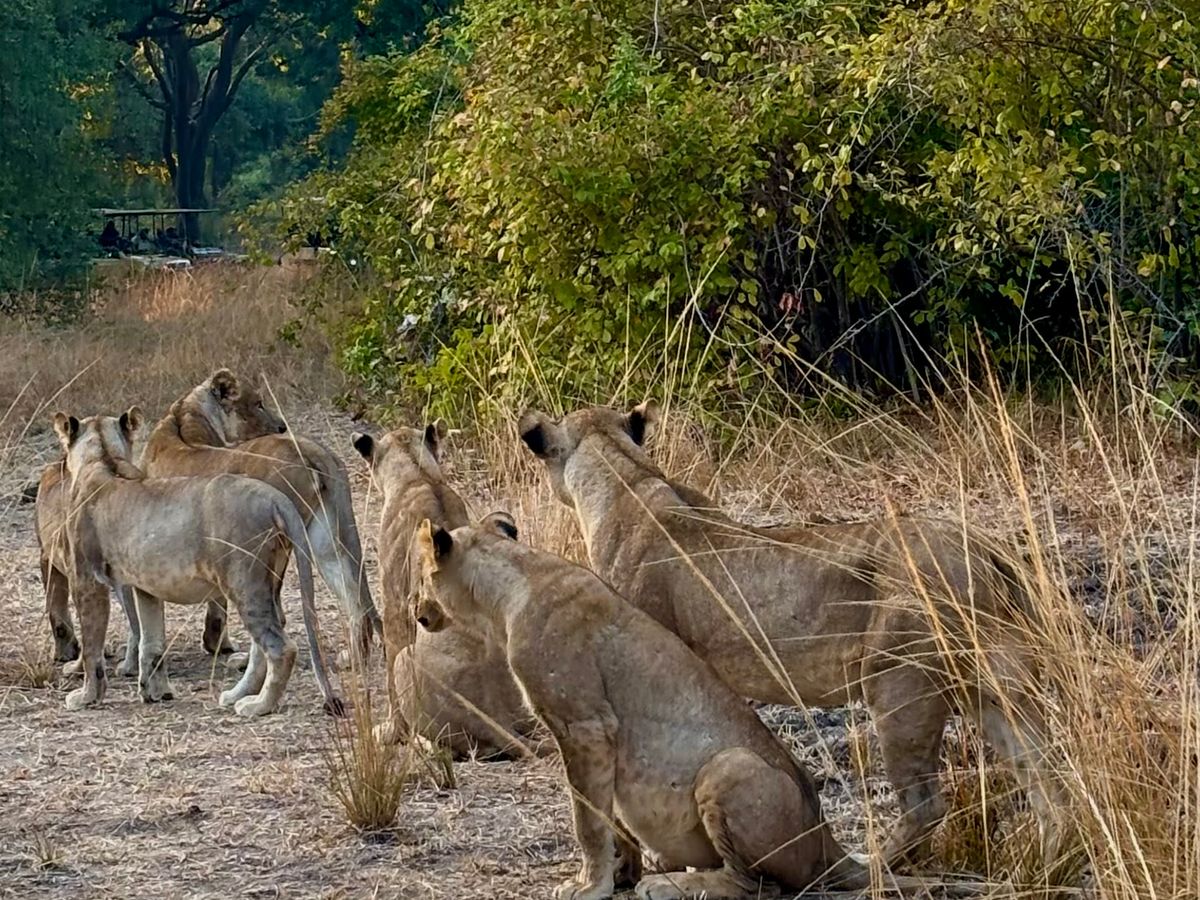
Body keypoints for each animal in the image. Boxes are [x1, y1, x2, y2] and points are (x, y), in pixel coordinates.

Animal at [52, 408, 341, 717]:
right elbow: (151, 642)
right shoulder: (146, 587)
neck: (103, 457)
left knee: (281, 648)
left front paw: (86, 697)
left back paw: (258, 705)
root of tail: (274, 497)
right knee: (267, 639)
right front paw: (156, 692)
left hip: (243, 582)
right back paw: (237, 695)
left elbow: (92, 647)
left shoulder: (86, 580)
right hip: (266, 578)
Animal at [139, 369, 382, 664]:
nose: (281, 426)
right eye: (258, 404)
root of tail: (310, 449)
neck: (184, 416)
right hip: (323, 536)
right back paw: (355, 659)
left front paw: (214, 642)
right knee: (353, 598)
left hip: (272, 542)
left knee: (274, 612)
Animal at [351, 422, 542, 758]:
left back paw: (422, 742)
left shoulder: (394, 600)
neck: (418, 474)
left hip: (407, 660)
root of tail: (498, 719)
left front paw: (391, 732)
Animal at [411, 514, 965, 900]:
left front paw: (589, 885)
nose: (417, 612)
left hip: (730, 766)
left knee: (758, 886)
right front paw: (620, 874)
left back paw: (673, 885)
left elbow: (587, 818)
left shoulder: (586, 724)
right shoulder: (597, 739)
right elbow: (612, 818)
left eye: (421, 577)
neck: (506, 588)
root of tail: (830, 844)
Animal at [518, 401, 1063, 866]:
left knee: (924, 804)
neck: (625, 477)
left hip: (901, 682)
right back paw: (1051, 859)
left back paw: (873, 866)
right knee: (1045, 774)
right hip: (994, 685)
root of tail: (986, 548)